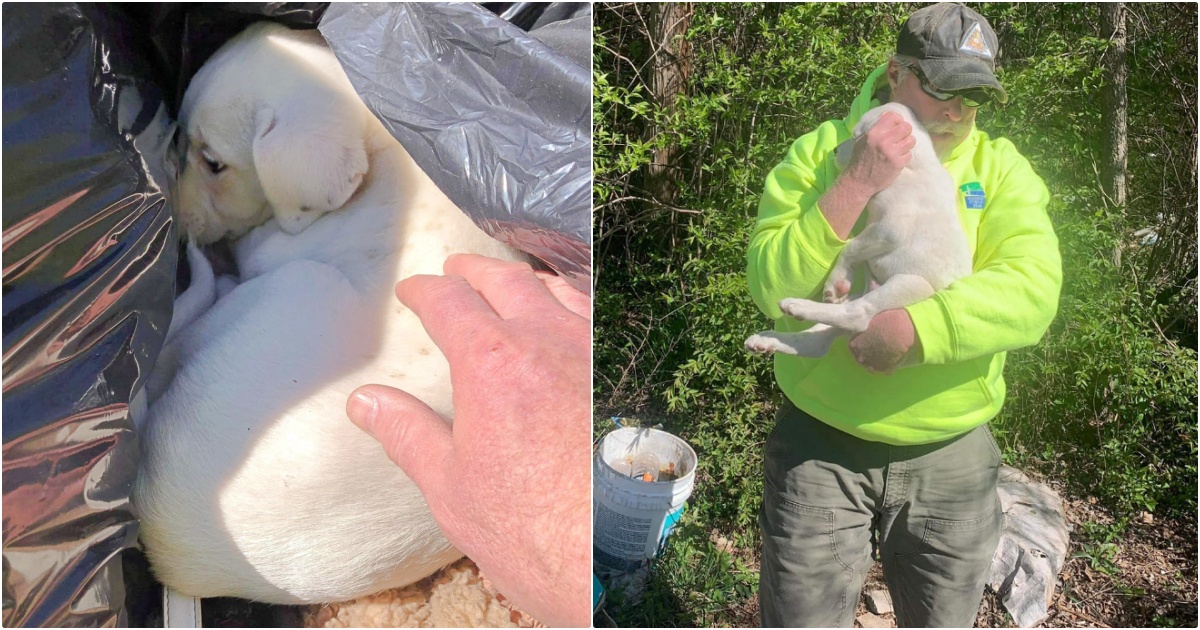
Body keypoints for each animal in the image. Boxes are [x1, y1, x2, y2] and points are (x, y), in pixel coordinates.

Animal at [132, 23, 525, 604]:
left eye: (215, 162)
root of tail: (168, 541)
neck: (381, 147)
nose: (176, 231)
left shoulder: (272, 253)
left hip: (298, 286)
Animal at [739, 104, 974, 357]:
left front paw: (836, 281)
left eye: (855, 136)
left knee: (856, 314)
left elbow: (851, 246)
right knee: (815, 343)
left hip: (911, 285)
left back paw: (797, 306)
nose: (833, 151)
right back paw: (766, 339)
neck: (915, 166)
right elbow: (854, 246)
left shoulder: (891, 228)